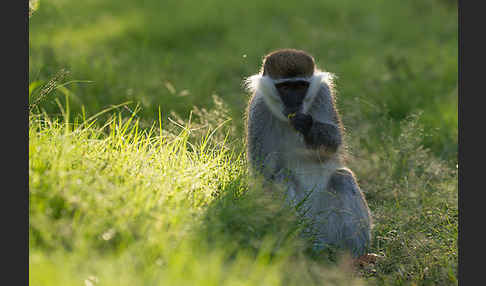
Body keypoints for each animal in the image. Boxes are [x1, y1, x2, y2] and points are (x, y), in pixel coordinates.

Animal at [243, 48, 372, 256]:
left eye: (300, 86)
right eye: (285, 87)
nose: (294, 105)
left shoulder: (323, 94)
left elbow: (334, 143)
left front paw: (307, 126)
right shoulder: (259, 109)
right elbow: (263, 173)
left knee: (342, 177)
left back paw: (352, 254)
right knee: (282, 177)